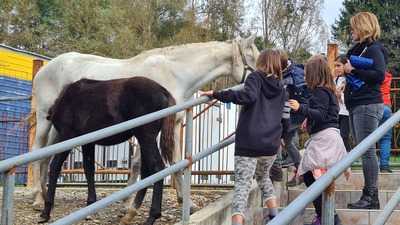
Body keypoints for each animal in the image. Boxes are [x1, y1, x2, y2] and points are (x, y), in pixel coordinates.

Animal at [39, 76, 176, 224]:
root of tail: (163, 91)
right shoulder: (88, 143)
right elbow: (89, 169)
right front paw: (90, 205)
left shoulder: (67, 135)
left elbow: (55, 167)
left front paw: (46, 212)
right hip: (144, 139)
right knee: (147, 172)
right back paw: (132, 212)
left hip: (145, 137)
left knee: (157, 167)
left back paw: (152, 216)